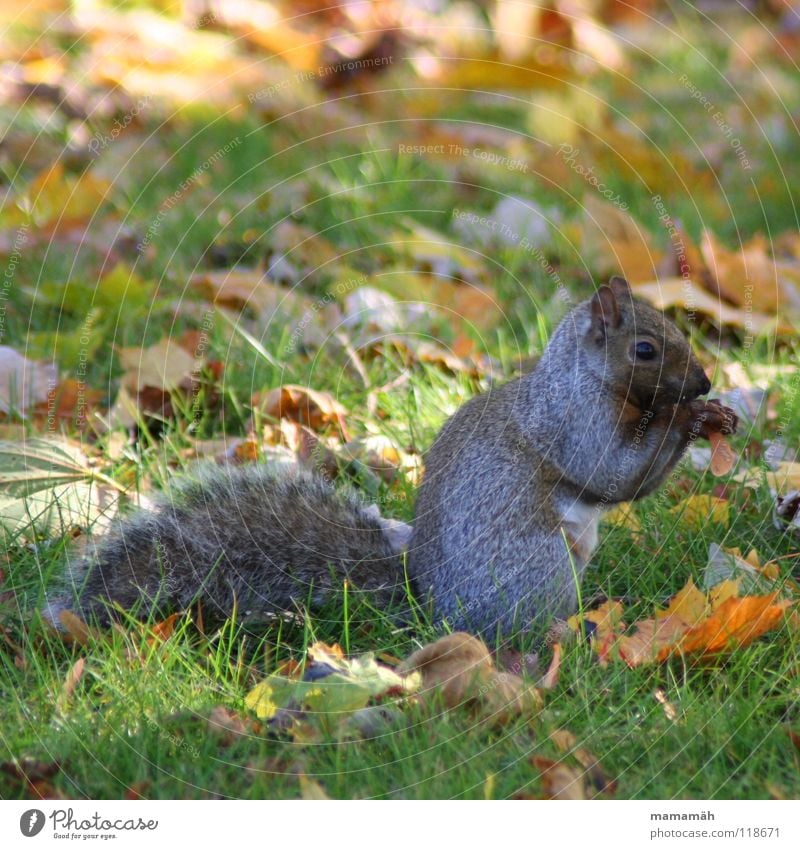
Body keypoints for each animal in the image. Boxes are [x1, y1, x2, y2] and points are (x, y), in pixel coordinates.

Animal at [43, 278, 736, 636]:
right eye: (645, 349)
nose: (703, 381)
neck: (581, 380)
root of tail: (435, 608)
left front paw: (712, 413)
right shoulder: (572, 425)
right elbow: (613, 474)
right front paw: (690, 419)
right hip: (540, 568)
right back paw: (577, 630)